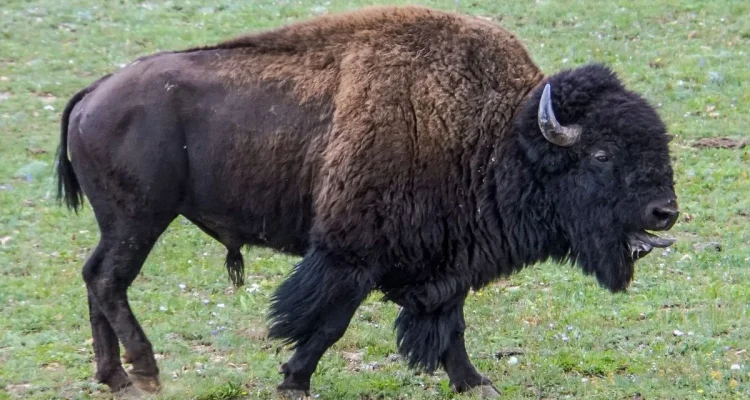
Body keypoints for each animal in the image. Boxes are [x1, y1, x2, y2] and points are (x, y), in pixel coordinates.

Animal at [56, 5, 678, 398]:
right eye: (601, 154)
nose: (665, 212)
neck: (497, 135)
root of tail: (94, 93)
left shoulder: (444, 263)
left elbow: (449, 325)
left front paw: (476, 382)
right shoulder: (352, 256)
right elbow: (331, 322)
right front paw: (293, 381)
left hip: (122, 223)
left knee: (94, 277)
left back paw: (114, 378)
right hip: (140, 219)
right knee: (109, 280)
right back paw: (146, 372)